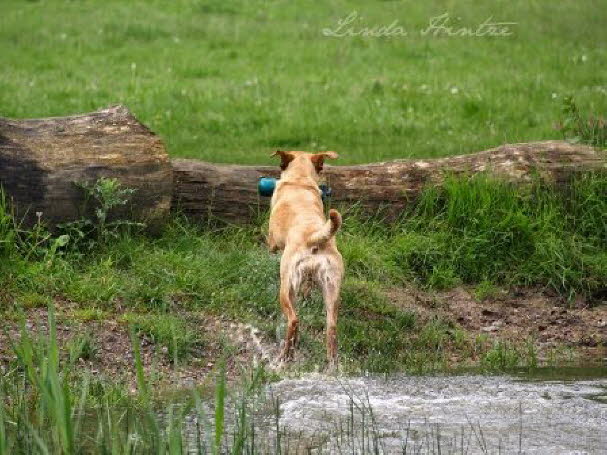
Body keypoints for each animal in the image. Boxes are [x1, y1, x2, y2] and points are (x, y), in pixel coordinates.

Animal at [270, 151, 344, 366]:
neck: (300, 181)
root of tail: (314, 236)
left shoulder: (272, 240)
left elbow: (271, 246)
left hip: (287, 286)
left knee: (294, 320)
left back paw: (286, 355)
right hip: (332, 289)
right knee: (331, 327)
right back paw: (332, 363)